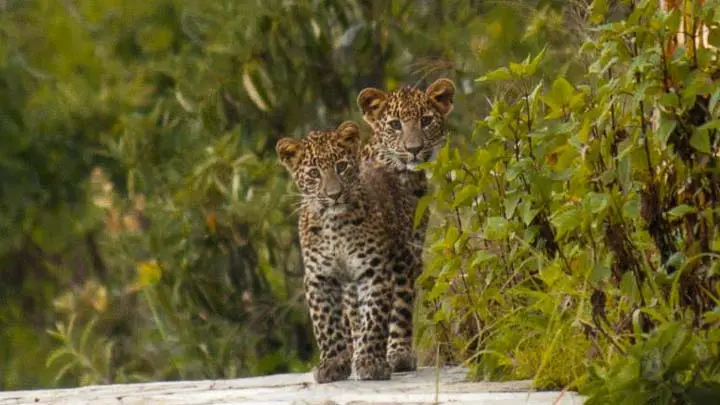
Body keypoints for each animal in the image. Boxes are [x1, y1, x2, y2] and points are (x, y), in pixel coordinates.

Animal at [276, 120, 406, 383]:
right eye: (314, 173)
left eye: (342, 166)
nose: (334, 195)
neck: (335, 226)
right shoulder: (319, 276)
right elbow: (326, 324)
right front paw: (333, 364)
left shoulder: (374, 272)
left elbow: (374, 317)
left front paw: (371, 362)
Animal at [355, 78, 456, 373]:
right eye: (395, 124)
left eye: (426, 120)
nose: (414, 149)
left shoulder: (409, 249)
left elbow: (401, 303)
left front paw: (397, 353)